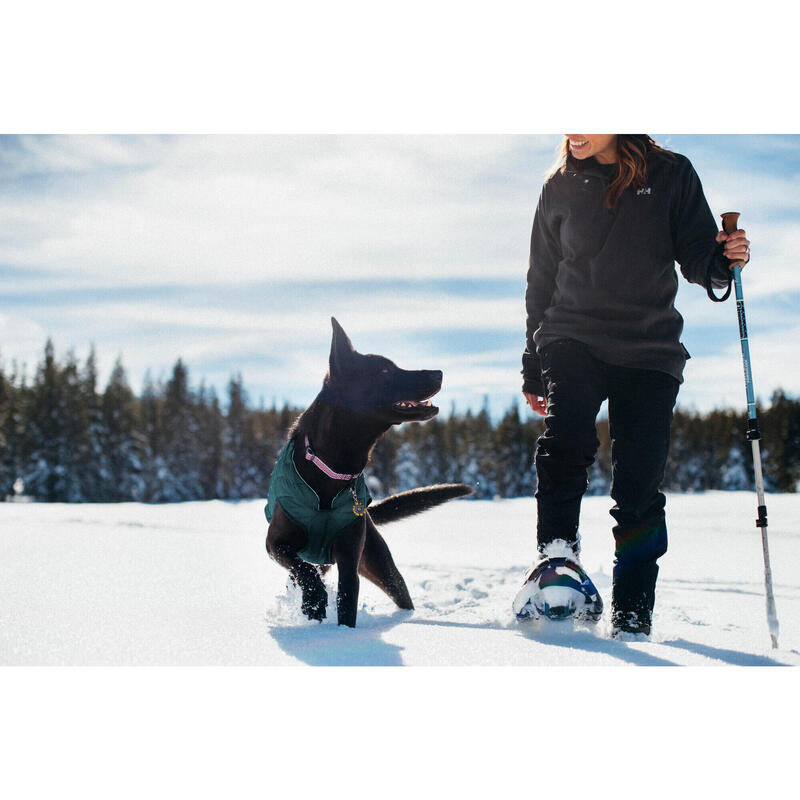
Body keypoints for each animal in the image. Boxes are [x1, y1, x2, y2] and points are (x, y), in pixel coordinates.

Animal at [266, 318, 472, 624]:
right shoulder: (276, 543)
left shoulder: (350, 559)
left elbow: (347, 601)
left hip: (379, 563)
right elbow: (304, 571)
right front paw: (314, 602)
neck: (333, 470)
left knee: (399, 590)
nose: (439, 373)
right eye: (385, 370)